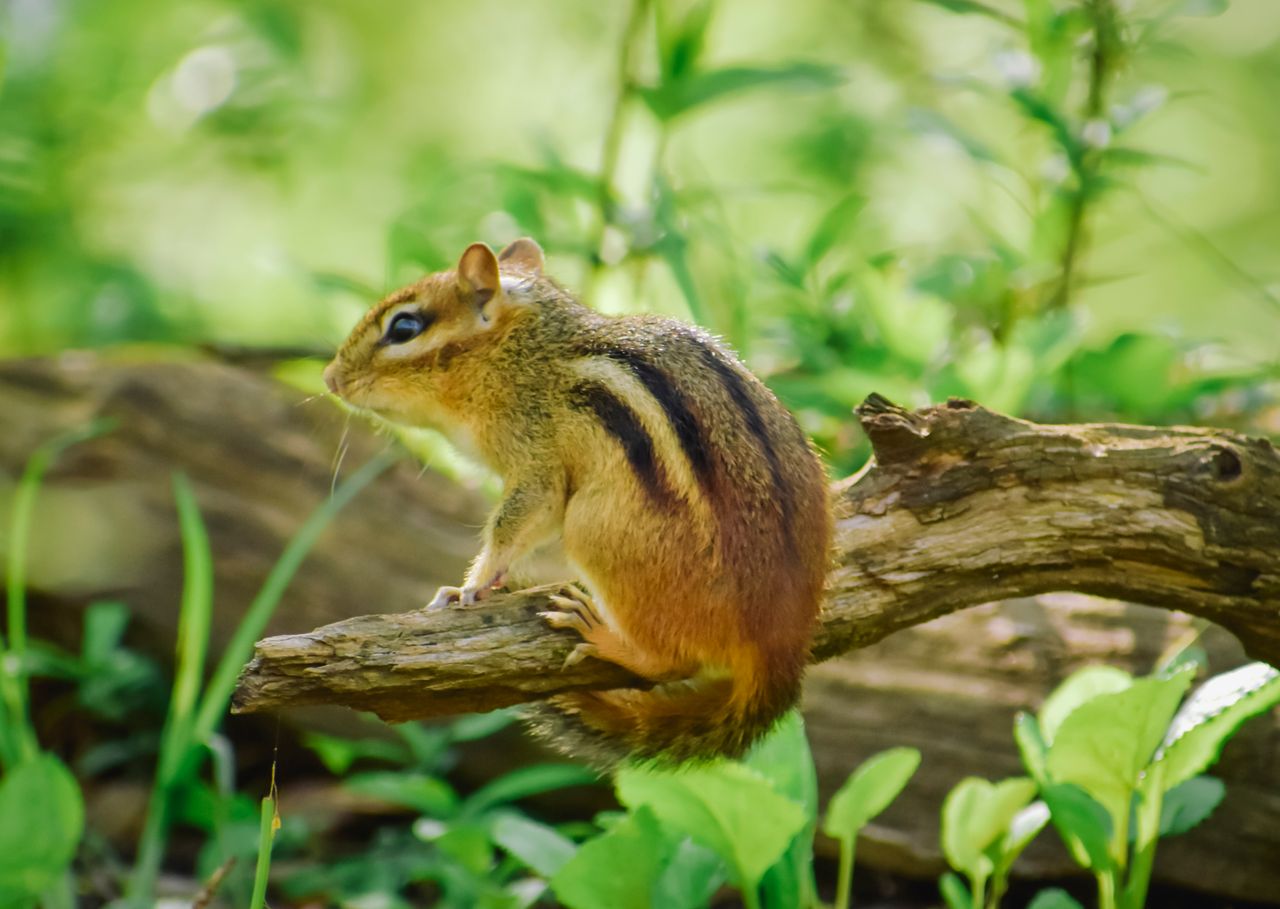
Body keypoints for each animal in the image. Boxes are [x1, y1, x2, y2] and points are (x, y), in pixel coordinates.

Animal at [323, 238, 831, 766]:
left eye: (404, 327)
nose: (329, 378)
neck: (522, 353)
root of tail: (777, 650)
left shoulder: (535, 459)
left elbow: (516, 521)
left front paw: (470, 587)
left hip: (594, 528)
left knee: (673, 663)